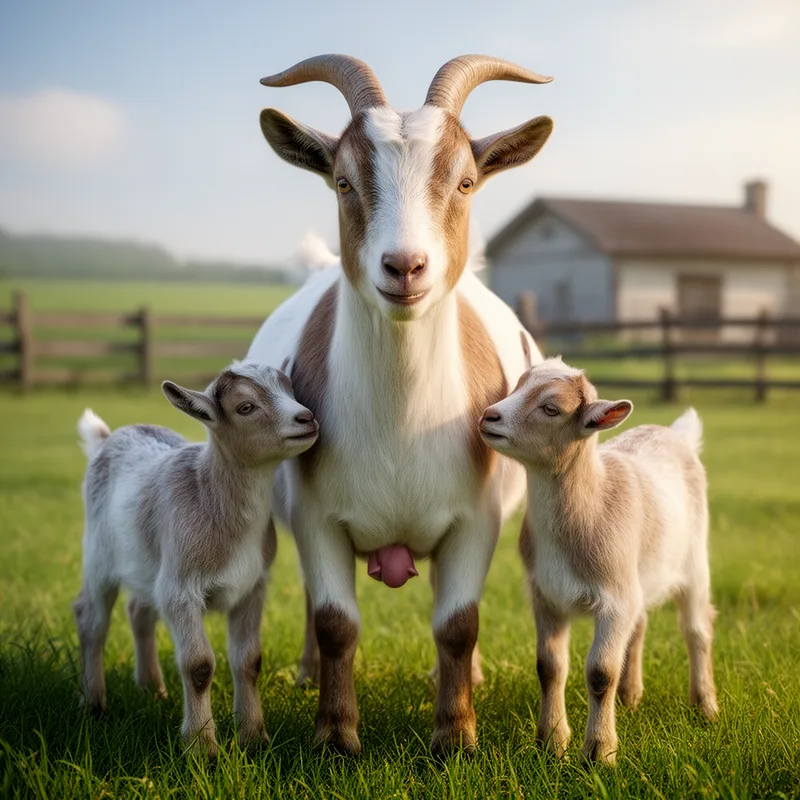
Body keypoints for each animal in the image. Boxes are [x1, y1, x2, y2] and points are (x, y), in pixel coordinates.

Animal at [73, 362, 318, 757]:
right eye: (245, 407)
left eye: (290, 388)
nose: (306, 417)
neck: (212, 500)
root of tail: (108, 438)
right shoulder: (181, 589)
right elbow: (199, 665)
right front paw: (202, 747)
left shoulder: (253, 586)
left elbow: (249, 660)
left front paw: (254, 738)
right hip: (98, 556)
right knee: (90, 619)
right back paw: (93, 702)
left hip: (149, 564)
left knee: (139, 611)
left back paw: (152, 690)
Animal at [247, 54, 553, 755]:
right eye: (342, 181)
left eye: (465, 181)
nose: (404, 267)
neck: (399, 426)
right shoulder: (318, 517)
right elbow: (335, 621)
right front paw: (335, 739)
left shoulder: (474, 519)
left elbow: (457, 623)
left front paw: (455, 738)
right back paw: (308, 674)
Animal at [479, 356, 718, 766]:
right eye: (517, 386)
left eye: (551, 408)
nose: (488, 416)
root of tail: (676, 435)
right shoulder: (546, 596)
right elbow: (549, 666)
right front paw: (552, 742)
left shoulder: (613, 599)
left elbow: (600, 671)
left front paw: (598, 752)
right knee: (640, 624)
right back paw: (630, 695)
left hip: (694, 563)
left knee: (697, 630)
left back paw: (705, 707)